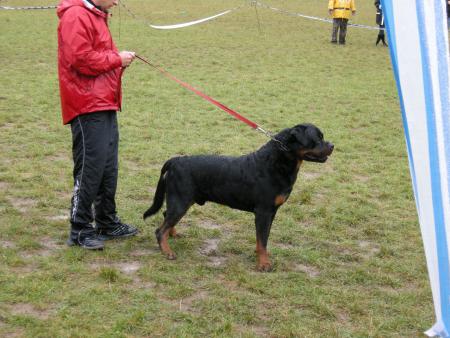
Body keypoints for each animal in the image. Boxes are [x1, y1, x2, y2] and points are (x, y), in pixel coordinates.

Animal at [144, 123, 334, 270]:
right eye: (317, 138)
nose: (332, 145)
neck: (276, 162)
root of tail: (175, 161)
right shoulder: (264, 211)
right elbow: (263, 239)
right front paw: (264, 264)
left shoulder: (271, 212)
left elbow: (263, 238)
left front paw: (260, 255)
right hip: (181, 200)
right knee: (160, 229)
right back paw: (167, 251)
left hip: (182, 200)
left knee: (166, 216)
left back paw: (173, 235)